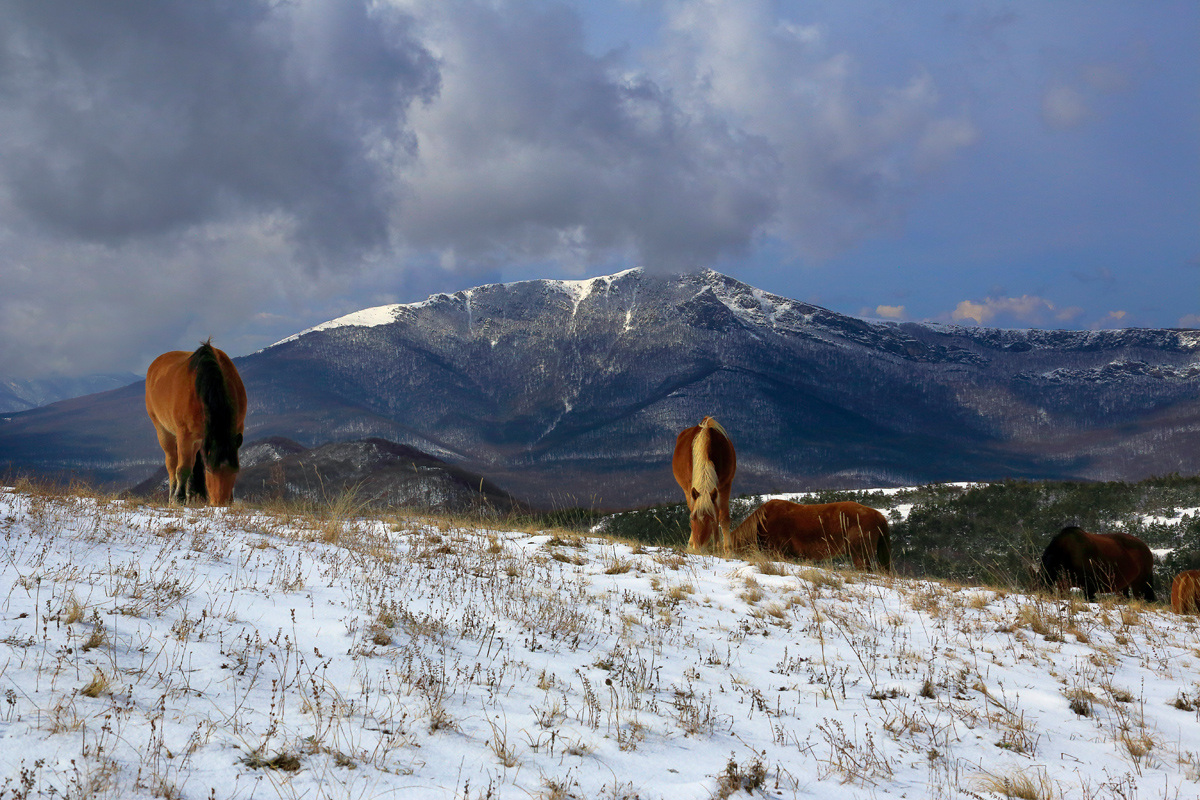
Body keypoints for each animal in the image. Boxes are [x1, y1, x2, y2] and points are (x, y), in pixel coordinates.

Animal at [144, 340, 246, 506]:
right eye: (209, 470)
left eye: (235, 470)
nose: (220, 504)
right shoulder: (185, 435)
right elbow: (183, 468)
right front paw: (179, 499)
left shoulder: (237, 428)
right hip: (163, 431)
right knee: (172, 463)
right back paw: (173, 496)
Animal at [672, 417, 734, 554]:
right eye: (692, 519)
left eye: (710, 520)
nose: (698, 549)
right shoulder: (690, 488)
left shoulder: (725, 486)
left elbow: (723, 518)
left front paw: (727, 550)